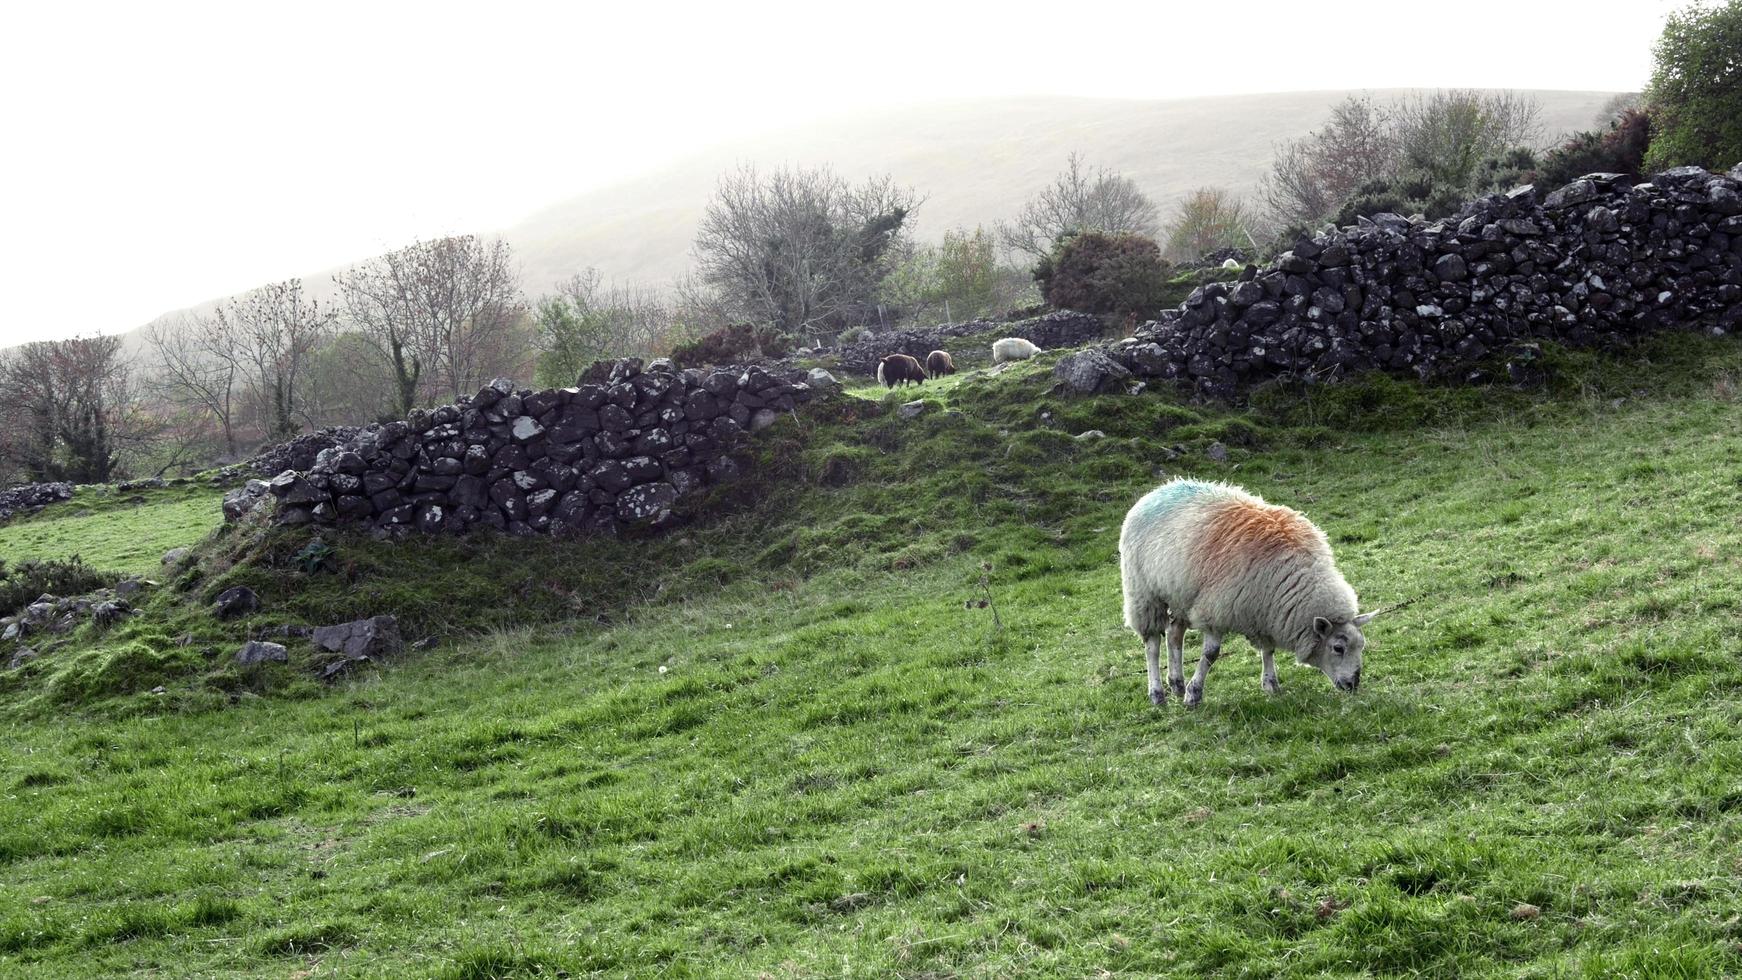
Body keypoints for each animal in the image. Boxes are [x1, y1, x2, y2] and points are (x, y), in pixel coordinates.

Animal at [1121, 480, 1379, 706]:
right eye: (1338, 648)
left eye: (1361, 646)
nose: (1353, 685)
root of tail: (1159, 489)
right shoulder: (1216, 610)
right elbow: (1211, 655)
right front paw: (1194, 694)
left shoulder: (1265, 610)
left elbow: (1269, 649)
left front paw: (1271, 685)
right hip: (1143, 593)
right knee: (1152, 644)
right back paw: (1157, 694)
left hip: (1180, 593)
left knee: (1175, 634)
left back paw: (1176, 684)